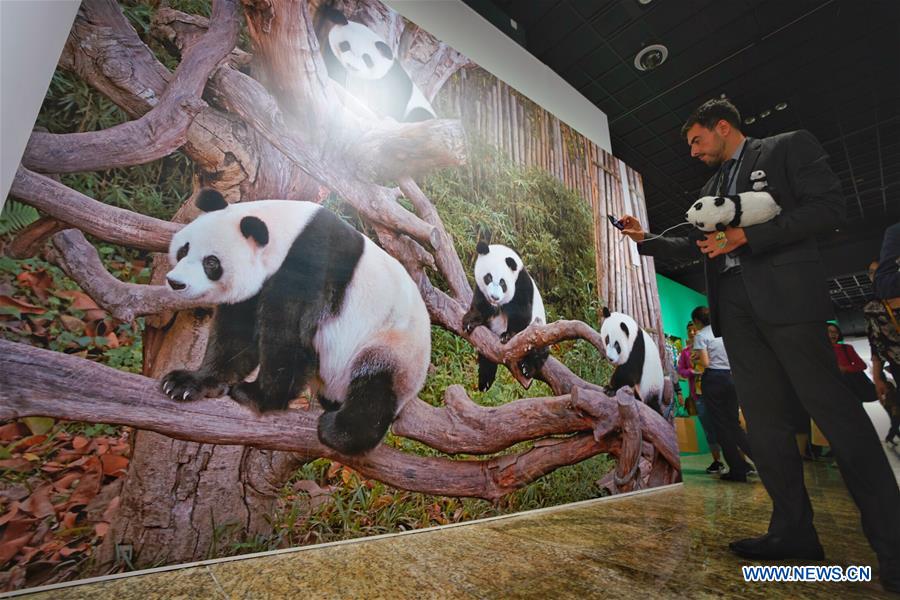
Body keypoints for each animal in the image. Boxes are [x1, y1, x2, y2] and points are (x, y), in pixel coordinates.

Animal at [159, 189, 431, 455]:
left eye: (211, 262)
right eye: (184, 250)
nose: (176, 283)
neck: (286, 234)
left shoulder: (309, 267)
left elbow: (288, 337)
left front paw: (258, 396)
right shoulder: (257, 287)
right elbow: (236, 335)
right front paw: (186, 383)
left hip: (392, 344)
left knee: (375, 385)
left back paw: (340, 431)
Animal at [462, 242, 549, 391]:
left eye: (503, 283)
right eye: (488, 277)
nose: (494, 297)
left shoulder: (521, 285)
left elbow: (520, 314)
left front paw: (508, 336)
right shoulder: (482, 290)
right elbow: (480, 304)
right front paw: (470, 321)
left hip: (539, 329)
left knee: (539, 351)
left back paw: (527, 368)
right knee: (486, 355)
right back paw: (485, 382)